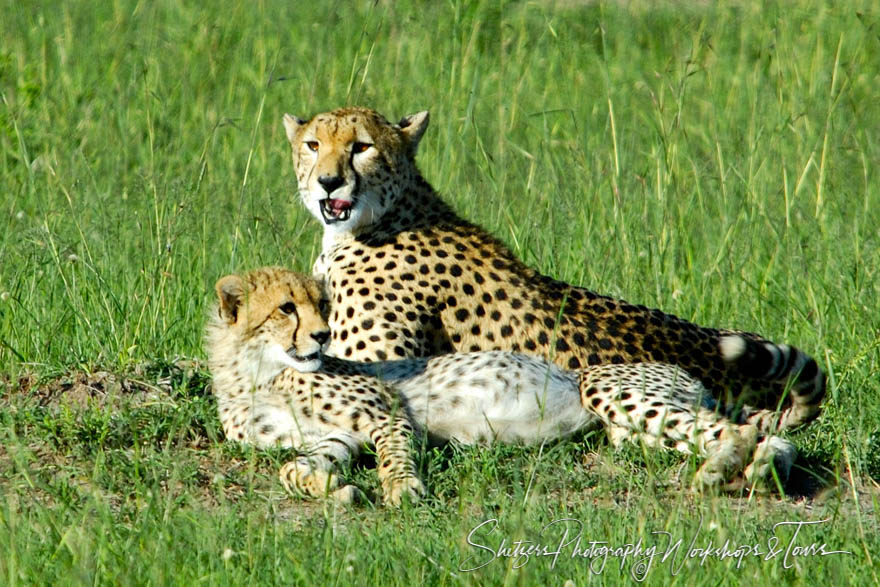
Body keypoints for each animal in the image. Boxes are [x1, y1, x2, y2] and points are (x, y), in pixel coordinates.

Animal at [206, 266, 796, 500]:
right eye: (287, 307)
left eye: (321, 305)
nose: (324, 334)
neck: (256, 373)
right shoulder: (335, 435)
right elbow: (291, 468)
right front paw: (336, 489)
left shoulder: (385, 412)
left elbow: (396, 454)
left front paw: (402, 489)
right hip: (631, 434)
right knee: (764, 437)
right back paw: (755, 470)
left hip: (605, 385)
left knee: (740, 431)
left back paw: (721, 471)